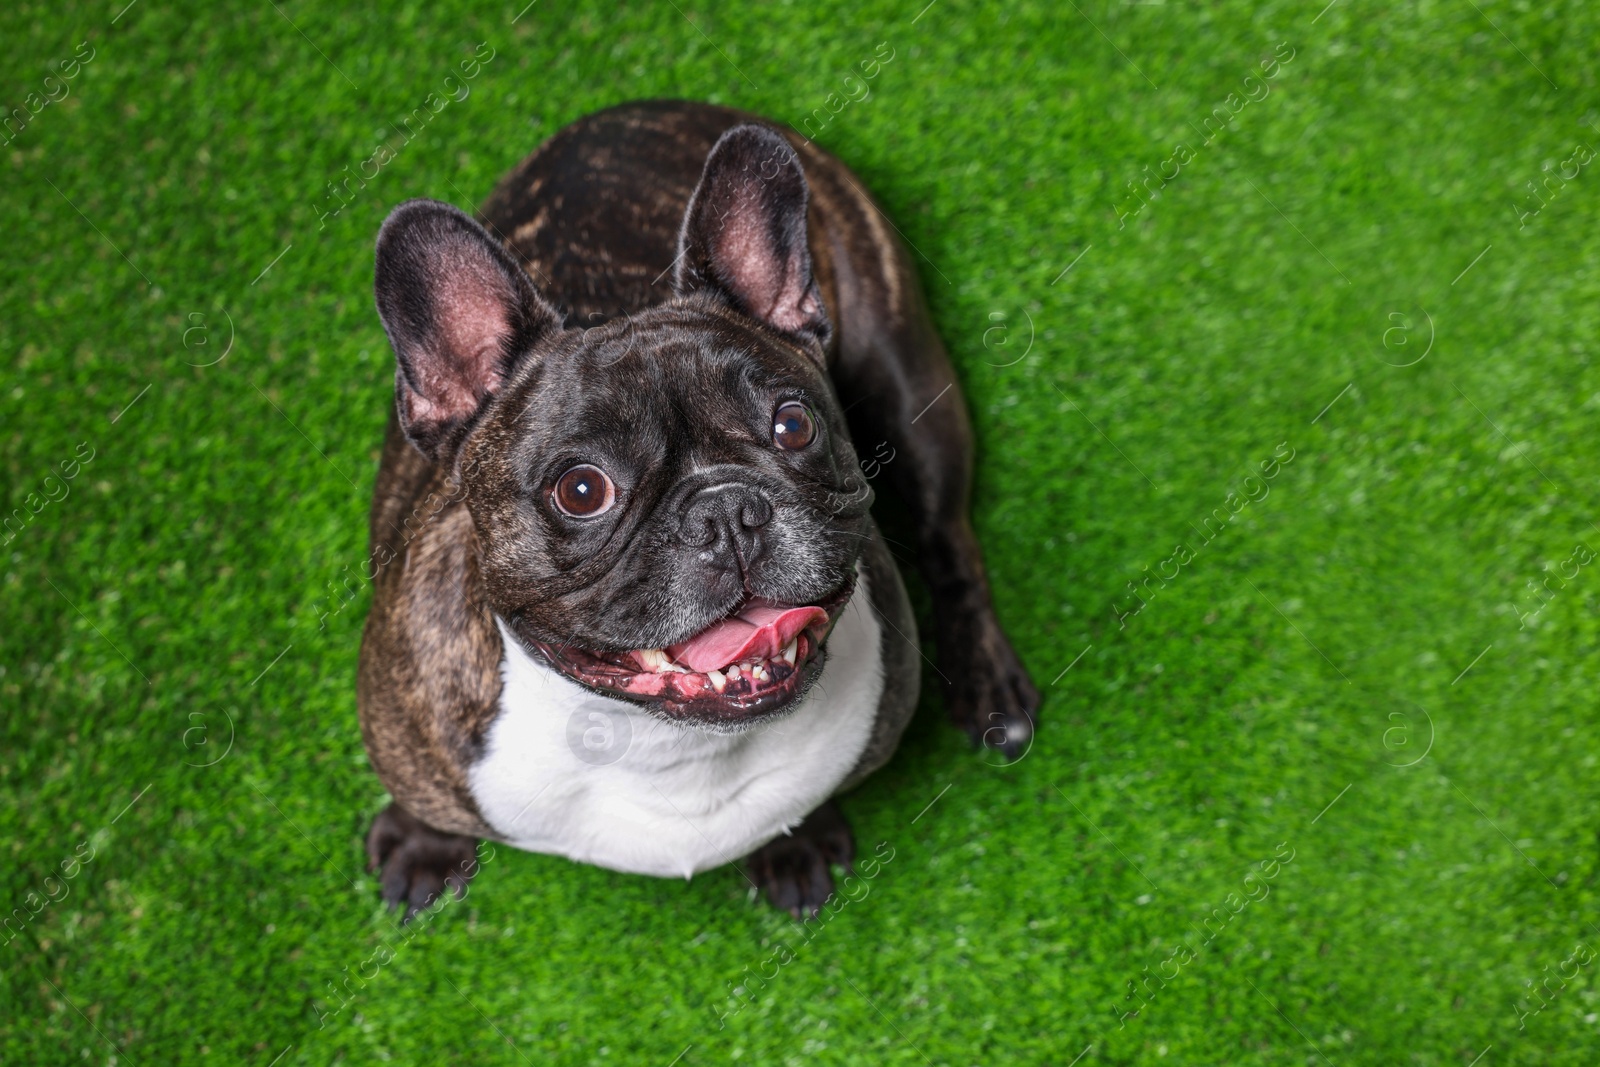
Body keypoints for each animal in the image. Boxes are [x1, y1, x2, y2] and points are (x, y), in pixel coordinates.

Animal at [358, 99, 1043, 921]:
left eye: (794, 425)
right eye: (581, 490)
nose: (726, 509)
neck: (669, 745)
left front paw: (798, 842)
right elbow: (422, 795)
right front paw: (424, 843)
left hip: (911, 386)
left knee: (949, 538)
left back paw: (990, 688)